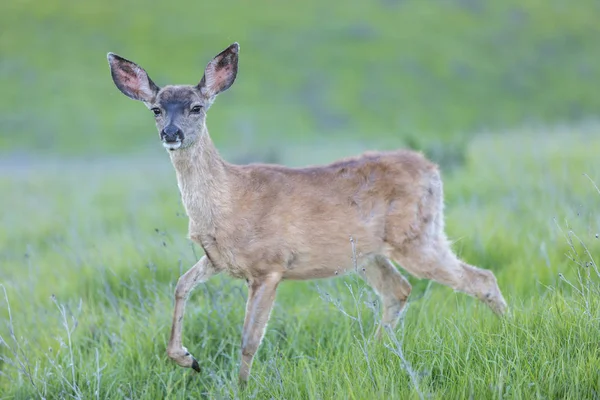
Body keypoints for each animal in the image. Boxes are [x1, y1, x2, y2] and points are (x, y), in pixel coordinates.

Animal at [106, 42, 506, 382]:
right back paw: (370, 354)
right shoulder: (218, 259)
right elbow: (180, 285)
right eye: (156, 109)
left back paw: (506, 333)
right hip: (370, 254)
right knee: (400, 290)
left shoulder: (270, 266)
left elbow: (249, 338)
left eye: (196, 108)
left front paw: (241, 386)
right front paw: (188, 359)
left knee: (481, 278)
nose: (171, 133)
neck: (230, 200)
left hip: (416, 237)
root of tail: (431, 169)